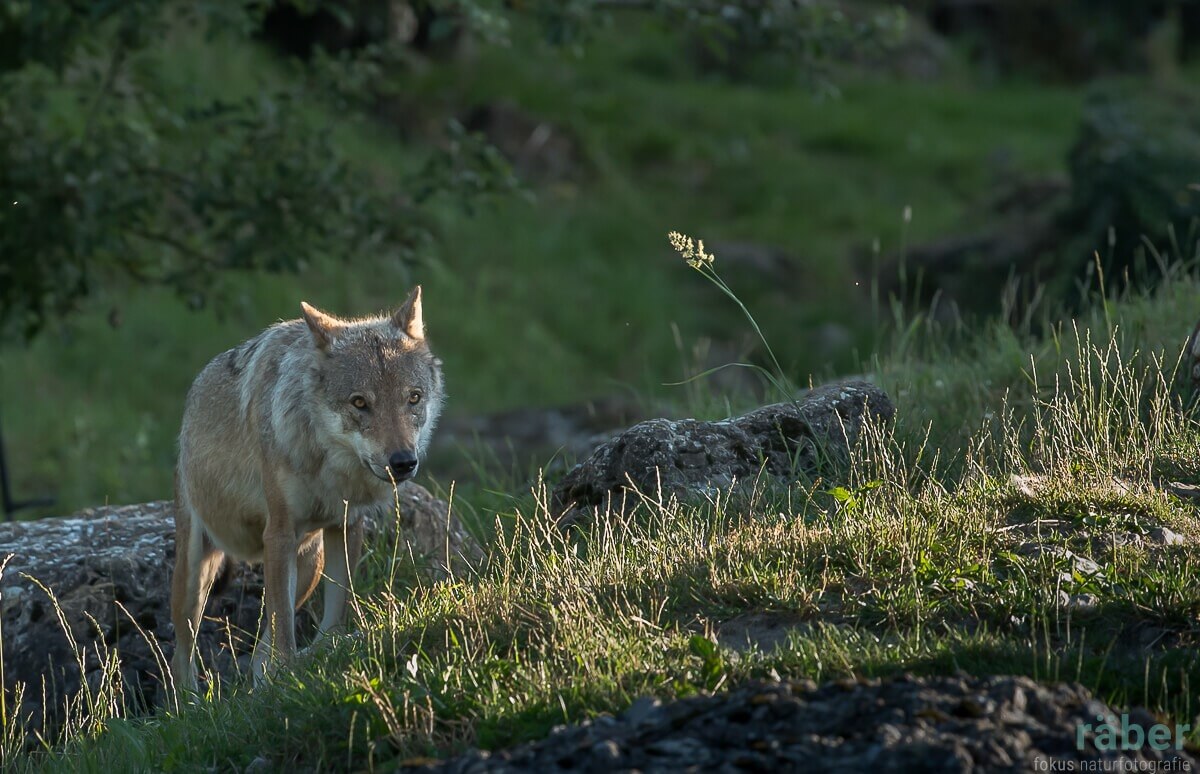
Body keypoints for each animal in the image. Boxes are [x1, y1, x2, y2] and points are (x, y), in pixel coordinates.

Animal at [170, 286, 446, 691]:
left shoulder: (346, 526)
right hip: (195, 575)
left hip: (308, 564)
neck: (330, 469)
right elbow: (284, 629)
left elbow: (335, 609)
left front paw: (327, 651)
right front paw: (290, 673)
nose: (402, 462)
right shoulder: (279, 533)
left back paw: (262, 681)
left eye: (413, 398)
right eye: (360, 403)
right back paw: (191, 702)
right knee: (182, 656)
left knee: (259, 649)